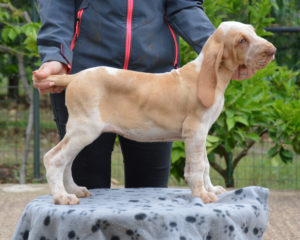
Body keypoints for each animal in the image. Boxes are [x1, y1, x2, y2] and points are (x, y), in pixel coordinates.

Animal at [34, 21, 276, 204]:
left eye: (254, 32)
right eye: (242, 41)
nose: (272, 50)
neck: (207, 76)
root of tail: (74, 77)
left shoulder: (202, 133)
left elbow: (206, 165)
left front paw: (210, 189)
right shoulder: (195, 131)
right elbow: (198, 166)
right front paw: (201, 194)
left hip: (79, 132)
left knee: (66, 161)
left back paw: (74, 190)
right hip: (85, 130)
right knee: (53, 158)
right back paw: (62, 197)